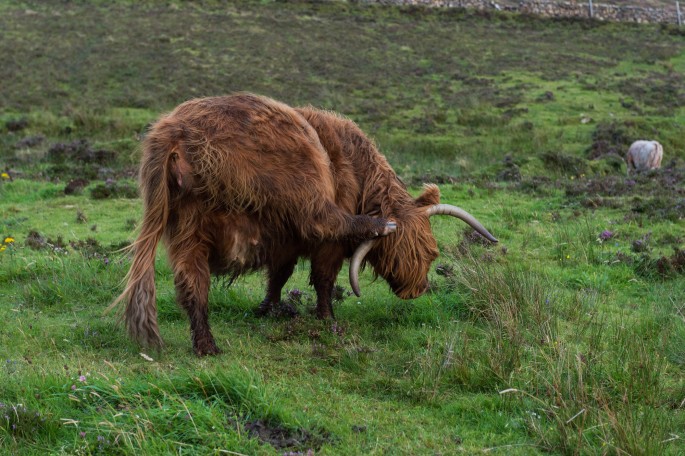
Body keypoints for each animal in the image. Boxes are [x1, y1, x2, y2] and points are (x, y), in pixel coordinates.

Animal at [113, 93, 496, 356]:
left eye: (430, 253)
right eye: (407, 253)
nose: (417, 290)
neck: (358, 173)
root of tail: (176, 131)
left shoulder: (283, 239)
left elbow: (278, 275)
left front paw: (267, 309)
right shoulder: (322, 243)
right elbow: (323, 279)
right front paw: (327, 321)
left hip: (187, 225)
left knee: (193, 284)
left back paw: (206, 346)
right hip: (301, 187)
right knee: (329, 220)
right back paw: (376, 224)